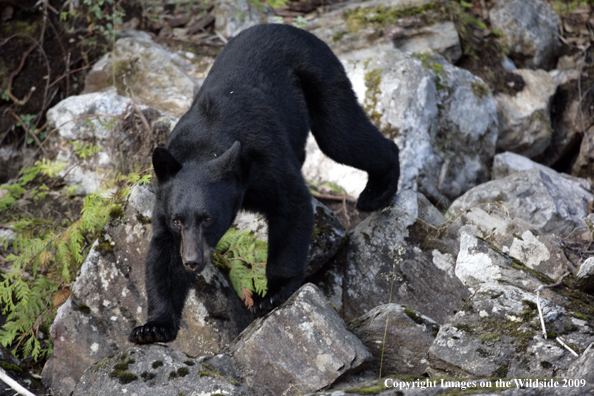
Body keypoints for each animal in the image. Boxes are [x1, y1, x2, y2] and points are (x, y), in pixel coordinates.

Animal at [130, 23, 398, 344]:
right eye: (177, 220)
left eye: (208, 218)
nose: (193, 261)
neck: (207, 145)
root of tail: (285, 26)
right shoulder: (164, 198)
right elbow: (163, 255)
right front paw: (153, 326)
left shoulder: (264, 157)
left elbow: (291, 205)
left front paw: (272, 294)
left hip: (320, 76)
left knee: (341, 134)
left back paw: (378, 191)